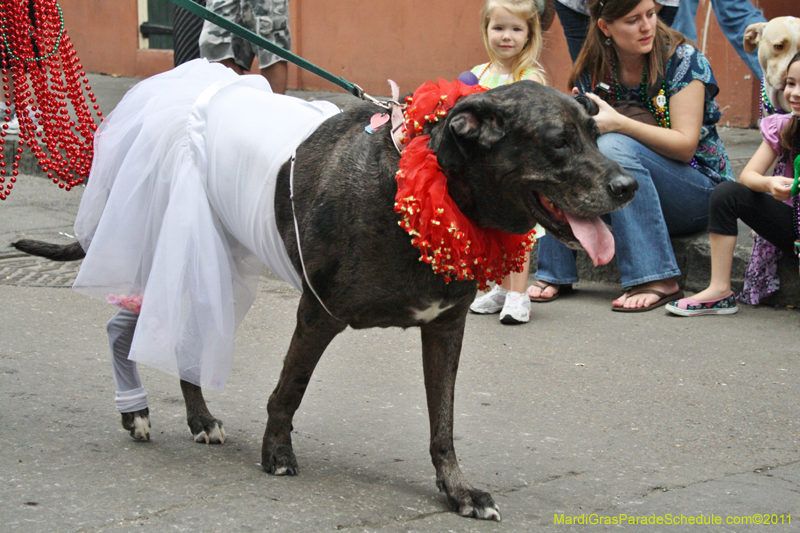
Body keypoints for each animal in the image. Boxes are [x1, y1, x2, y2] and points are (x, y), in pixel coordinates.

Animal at [12, 81, 636, 520]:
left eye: (595, 132)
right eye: (558, 142)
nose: (628, 186)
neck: (428, 190)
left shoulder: (445, 327)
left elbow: (443, 422)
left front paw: (457, 491)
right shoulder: (319, 315)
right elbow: (289, 389)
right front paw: (276, 454)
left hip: (209, 263)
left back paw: (199, 418)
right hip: (173, 252)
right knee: (123, 329)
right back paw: (137, 412)